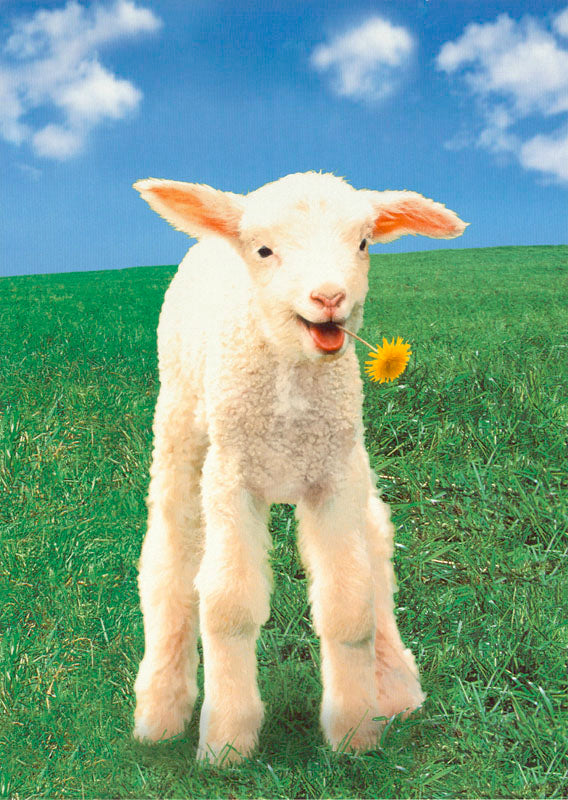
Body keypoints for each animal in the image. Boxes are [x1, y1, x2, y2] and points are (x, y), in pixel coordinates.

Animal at [132, 171, 466, 763]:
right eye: (264, 250)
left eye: (363, 243)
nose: (329, 298)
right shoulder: (232, 477)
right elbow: (229, 604)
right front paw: (226, 744)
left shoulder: (334, 476)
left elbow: (350, 603)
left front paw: (355, 733)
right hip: (181, 427)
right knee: (171, 554)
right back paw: (160, 711)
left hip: (355, 458)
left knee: (377, 542)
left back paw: (396, 686)